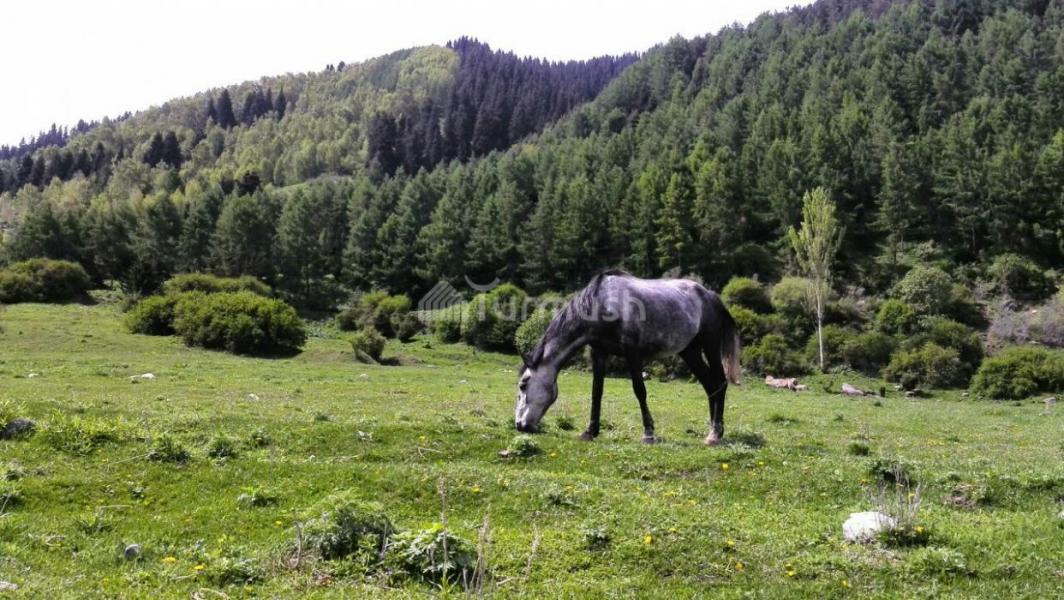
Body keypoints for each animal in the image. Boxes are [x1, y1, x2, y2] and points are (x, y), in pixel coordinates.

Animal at [514, 270, 741, 445]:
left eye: (524, 385)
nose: (519, 425)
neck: (603, 303)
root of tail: (711, 296)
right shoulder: (599, 352)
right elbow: (596, 391)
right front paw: (590, 431)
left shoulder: (632, 352)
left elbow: (639, 390)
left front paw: (648, 433)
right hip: (690, 351)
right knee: (709, 385)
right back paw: (712, 430)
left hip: (710, 345)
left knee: (719, 383)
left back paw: (715, 434)